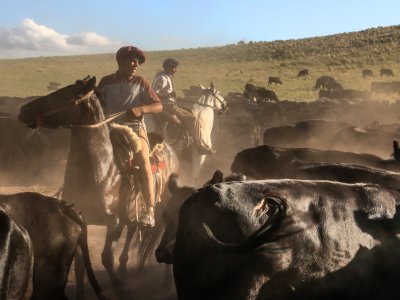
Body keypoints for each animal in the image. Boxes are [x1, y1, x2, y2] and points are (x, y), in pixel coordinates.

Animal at [18, 75, 178, 300]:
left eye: (69, 95)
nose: (23, 110)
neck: (100, 169)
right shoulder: (81, 220)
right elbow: (79, 265)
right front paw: (81, 293)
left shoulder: (114, 221)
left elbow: (106, 257)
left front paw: (121, 289)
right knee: (133, 231)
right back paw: (128, 267)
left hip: (162, 209)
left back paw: (162, 278)